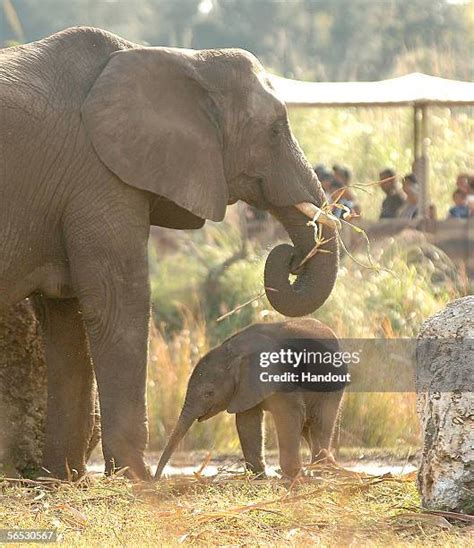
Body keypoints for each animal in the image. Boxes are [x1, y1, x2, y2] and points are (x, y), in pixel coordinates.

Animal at [155, 318, 344, 478]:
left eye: (208, 393)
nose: (156, 479)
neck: (232, 352)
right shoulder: (244, 389)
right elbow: (247, 422)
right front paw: (259, 476)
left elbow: (289, 414)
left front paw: (291, 476)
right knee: (308, 426)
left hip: (332, 384)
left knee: (320, 422)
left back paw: (321, 471)